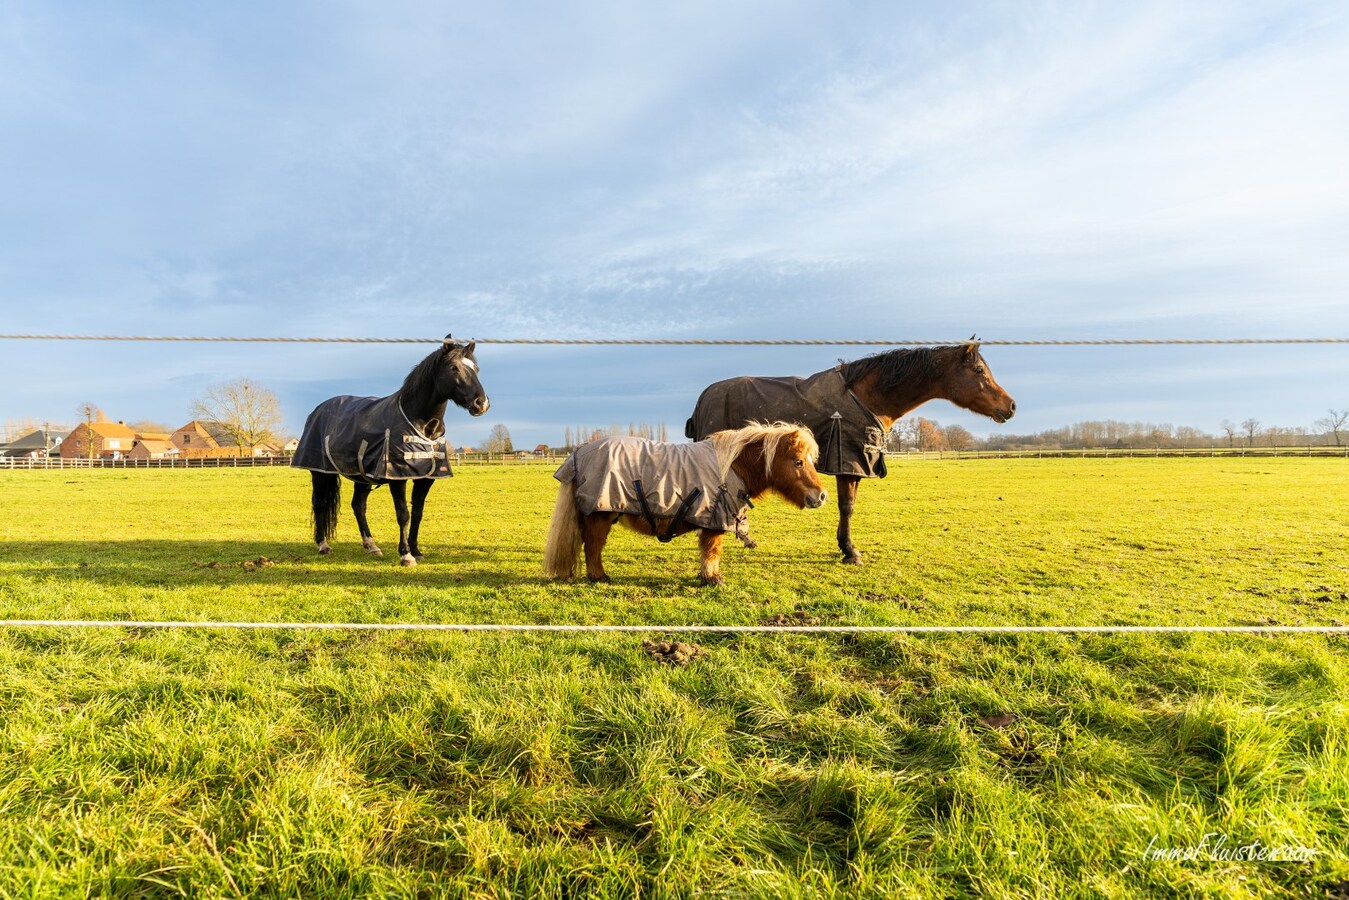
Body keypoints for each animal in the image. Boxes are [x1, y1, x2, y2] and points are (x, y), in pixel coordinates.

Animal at [290, 334, 491, 566]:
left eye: (476, 368)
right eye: (454, 368)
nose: (481, 403)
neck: (421, 422)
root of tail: (319, 409)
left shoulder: (426, 478)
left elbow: (418, 512)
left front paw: (416, 550)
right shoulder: (397, 477)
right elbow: (403, 514)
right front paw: (406, 555)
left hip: (361, 477)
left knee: (358, 506)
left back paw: (372, 546)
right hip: (320, 473)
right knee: (320, 503)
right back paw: (323, 545)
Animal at [544, 423, 820, 588]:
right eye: (798, 461)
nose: (822, 495)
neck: (731, 468)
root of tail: (580, 451)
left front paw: (708, 577)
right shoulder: (714, 522)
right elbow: (712, 551)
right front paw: (713, 580)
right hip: (600, 515)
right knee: (593, 546)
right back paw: (599, 577)